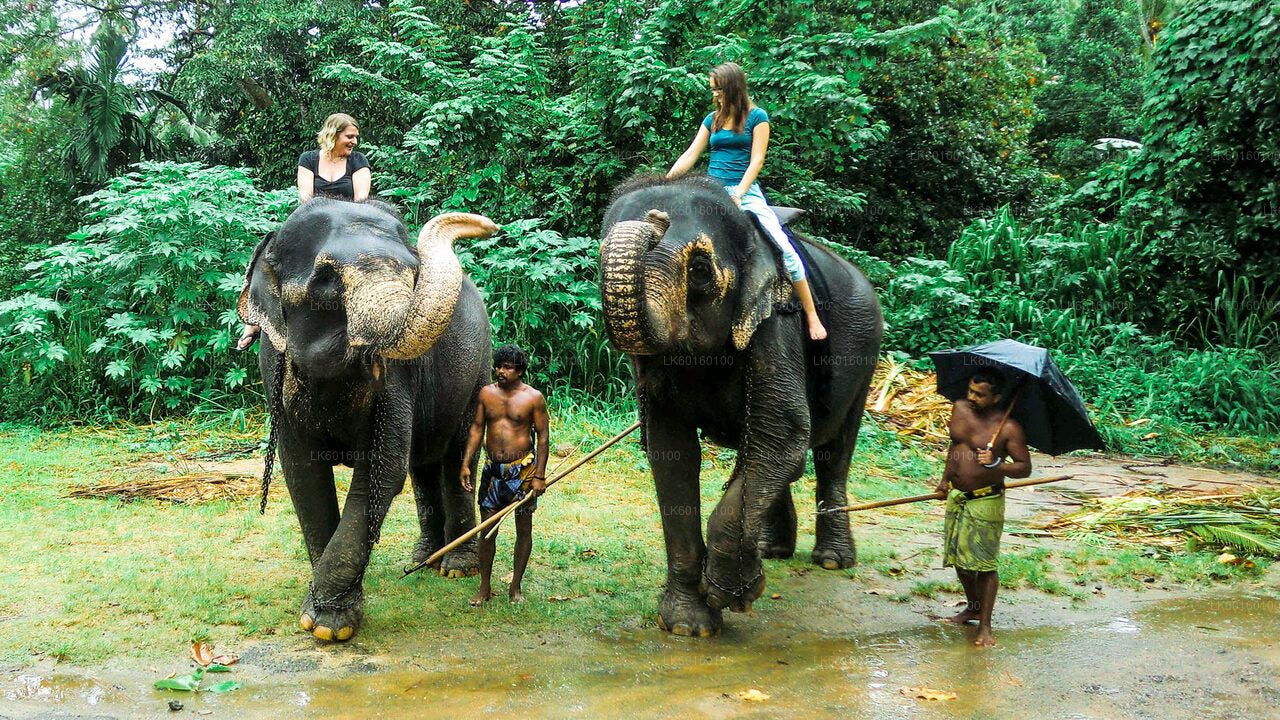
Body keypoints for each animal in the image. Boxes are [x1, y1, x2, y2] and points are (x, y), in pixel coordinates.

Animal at [238, 198, 495, 642]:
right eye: (325, 280)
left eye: (414, 272)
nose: (489, 225)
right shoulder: (275, 368)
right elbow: (303, 474)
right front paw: (324, 616)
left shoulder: (397, 377)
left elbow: (382, 471)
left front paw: (327, 626)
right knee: (423, 463)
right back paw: (424, 559)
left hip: (479, 365)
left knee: (456, 457)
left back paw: (456, 568)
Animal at [598, 175, 884, 637]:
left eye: (699, 270)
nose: (656, 219)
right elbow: (673, 452)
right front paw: (689, 626)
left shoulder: (776, 324)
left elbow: (781, 434)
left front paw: (732, 594)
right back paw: (770, 549)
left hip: (867, 356)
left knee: (832, 451)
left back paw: (832, 560)